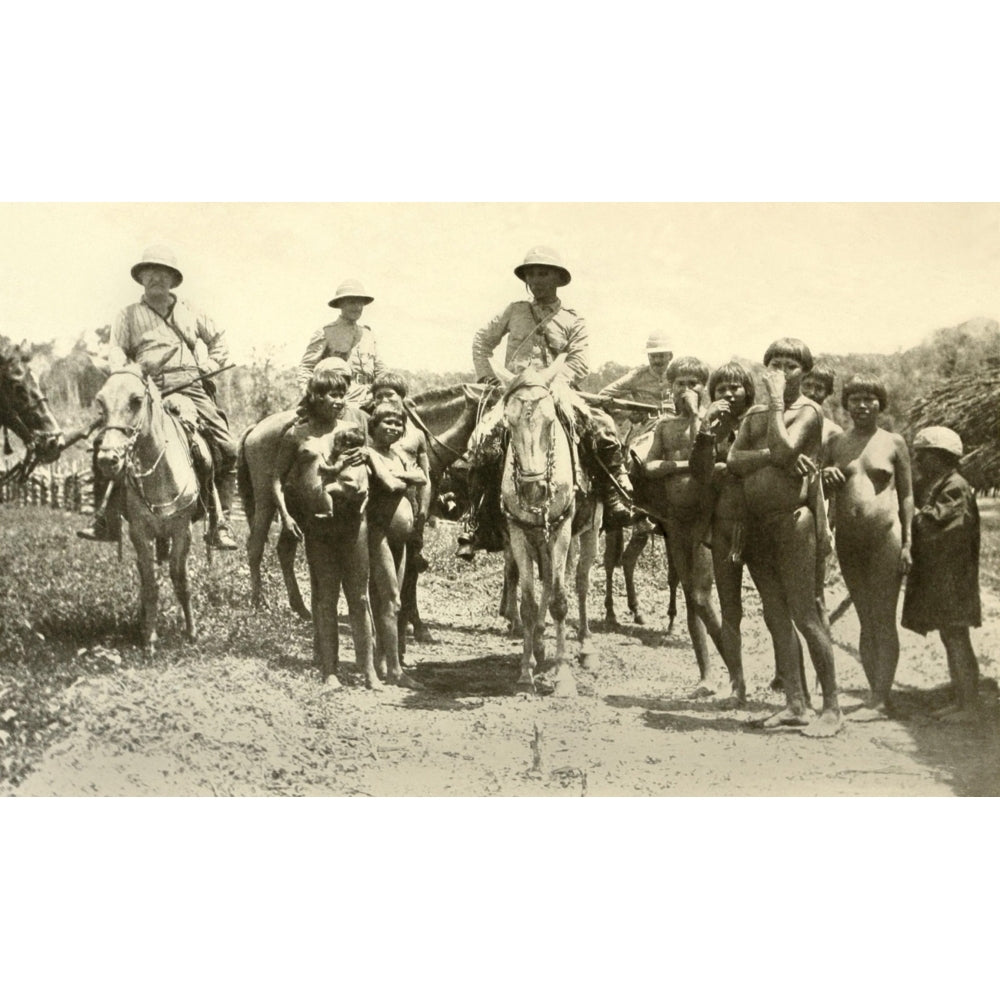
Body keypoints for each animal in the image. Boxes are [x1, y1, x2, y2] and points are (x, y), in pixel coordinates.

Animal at [93, 364, 202, 652]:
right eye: (100, 402)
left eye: (136, 400)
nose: (108, 459)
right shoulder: (140, 532)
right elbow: (150, 582)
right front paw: (150, 637)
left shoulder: (182, 531)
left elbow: (181, 579)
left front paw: (191, 632)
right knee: (145, 575)